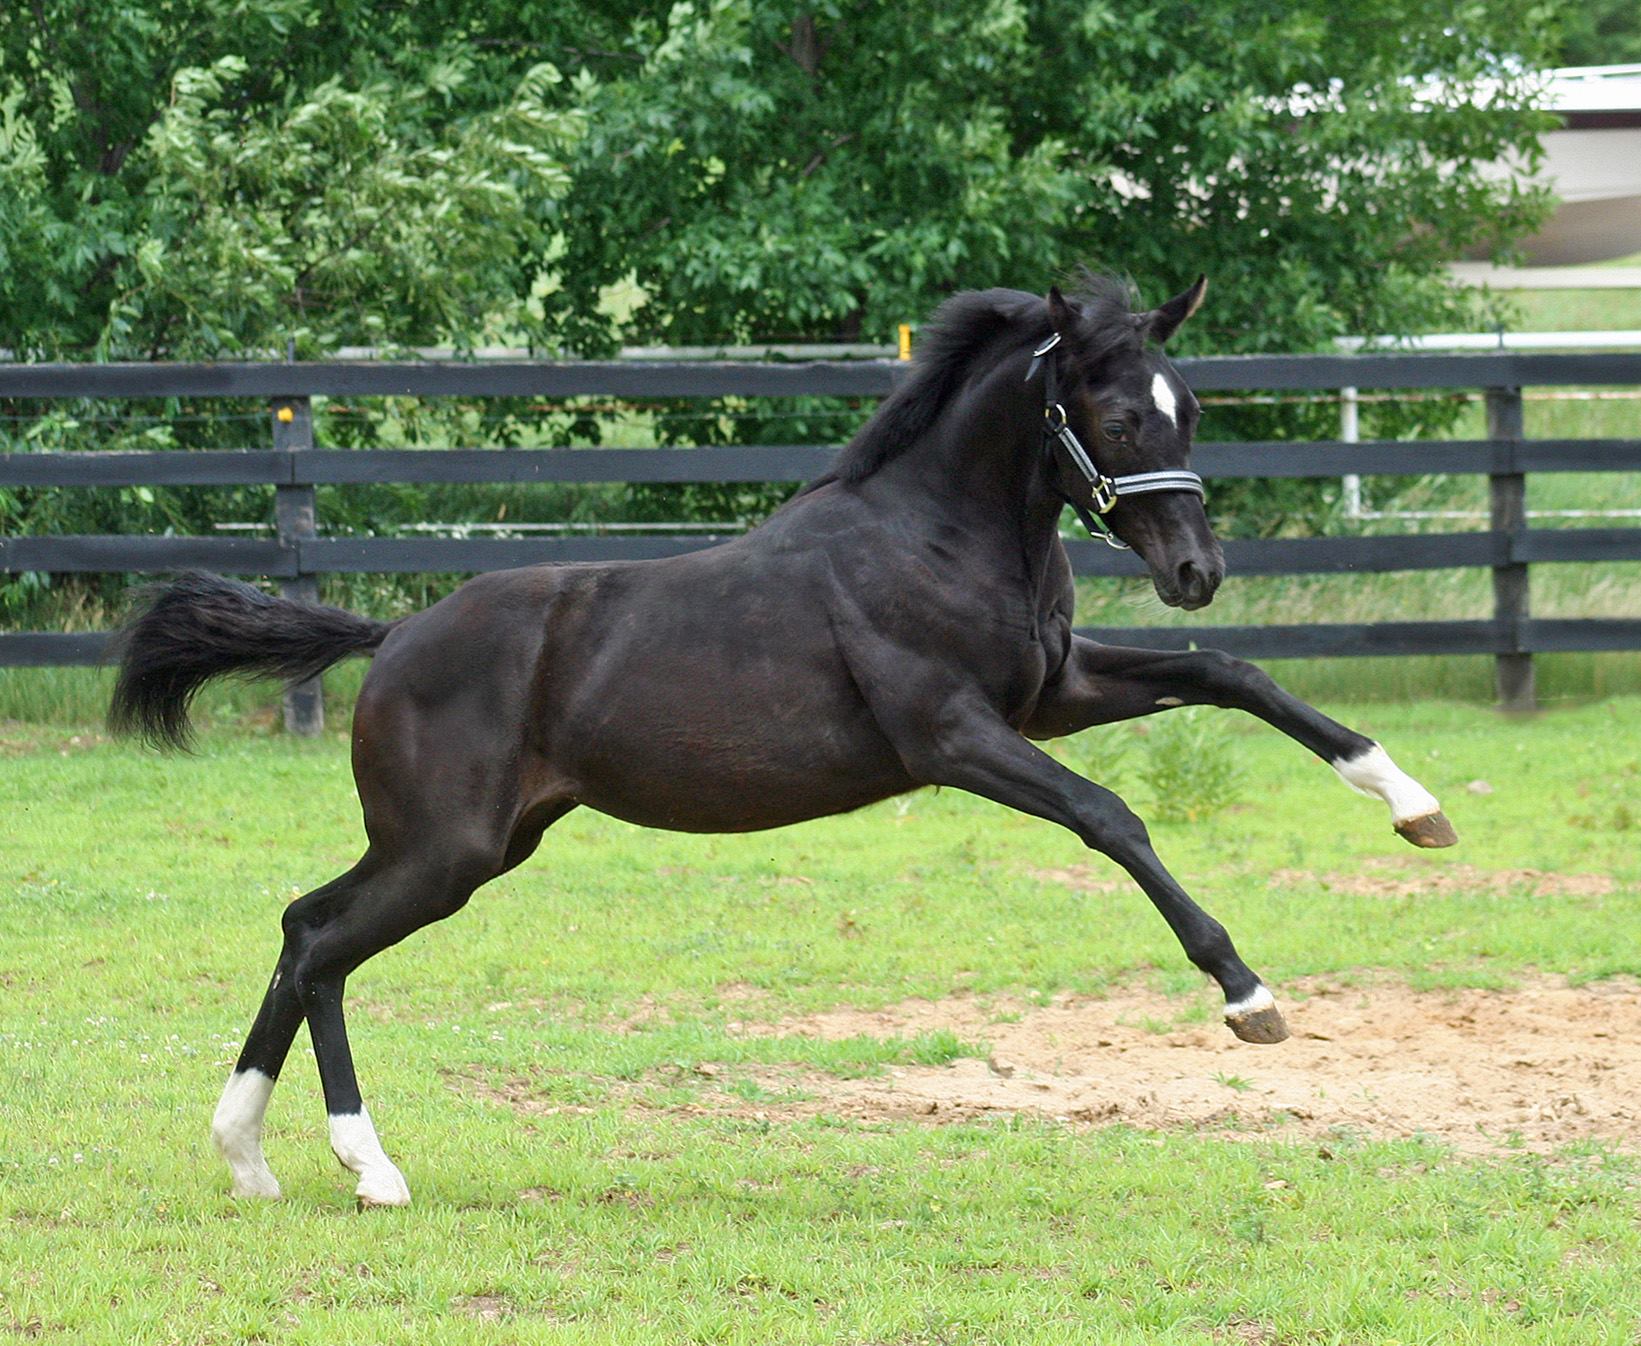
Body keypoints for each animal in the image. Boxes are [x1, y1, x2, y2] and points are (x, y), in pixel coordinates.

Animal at [109, 275, 1457, 1208]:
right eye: (1119, 416)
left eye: (1191, 406)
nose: (1196, 571)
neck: (941, 535)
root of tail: (391, 635)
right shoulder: (953, 734)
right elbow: (1111, 816)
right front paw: (1248, 993)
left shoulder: (1051, 693)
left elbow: (1235, 676)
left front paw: (1411, 802)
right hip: (444, 850)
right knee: (321, 942)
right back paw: (365, 1164)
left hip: (470, 844)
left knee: (301, 926)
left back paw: (253, 1157)